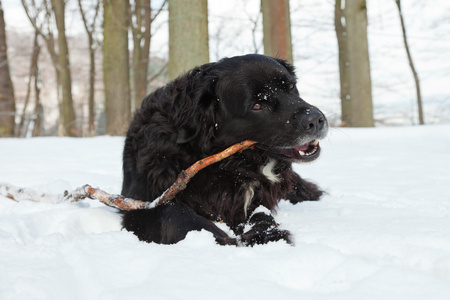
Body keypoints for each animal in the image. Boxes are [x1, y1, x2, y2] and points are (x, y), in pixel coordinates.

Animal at [121, 54, 328, 246]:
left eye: (291, 87)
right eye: (257, 105)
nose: (315, 119)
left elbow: (261, 214)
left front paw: (266, 234)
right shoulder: (142, 203)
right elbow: (174, 212)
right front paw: (222, 238)